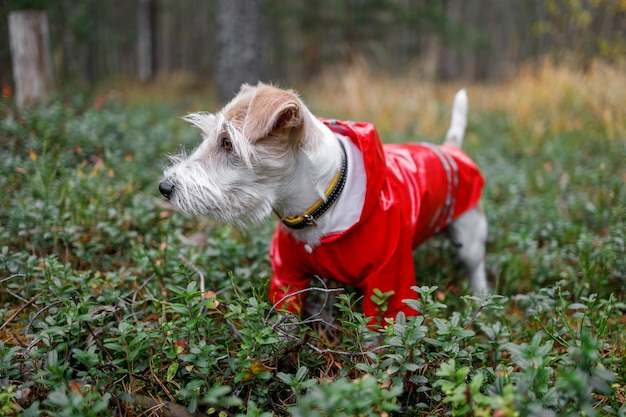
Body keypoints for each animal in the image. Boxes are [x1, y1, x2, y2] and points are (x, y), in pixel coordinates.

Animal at [157, 83, 488, 324]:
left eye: (227, 142)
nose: (165, 187)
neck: (317, 208)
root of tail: (450, 149)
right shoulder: (287, 276)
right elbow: (285, 319)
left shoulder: (388, 279)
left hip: (469, 238)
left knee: (476, 267)